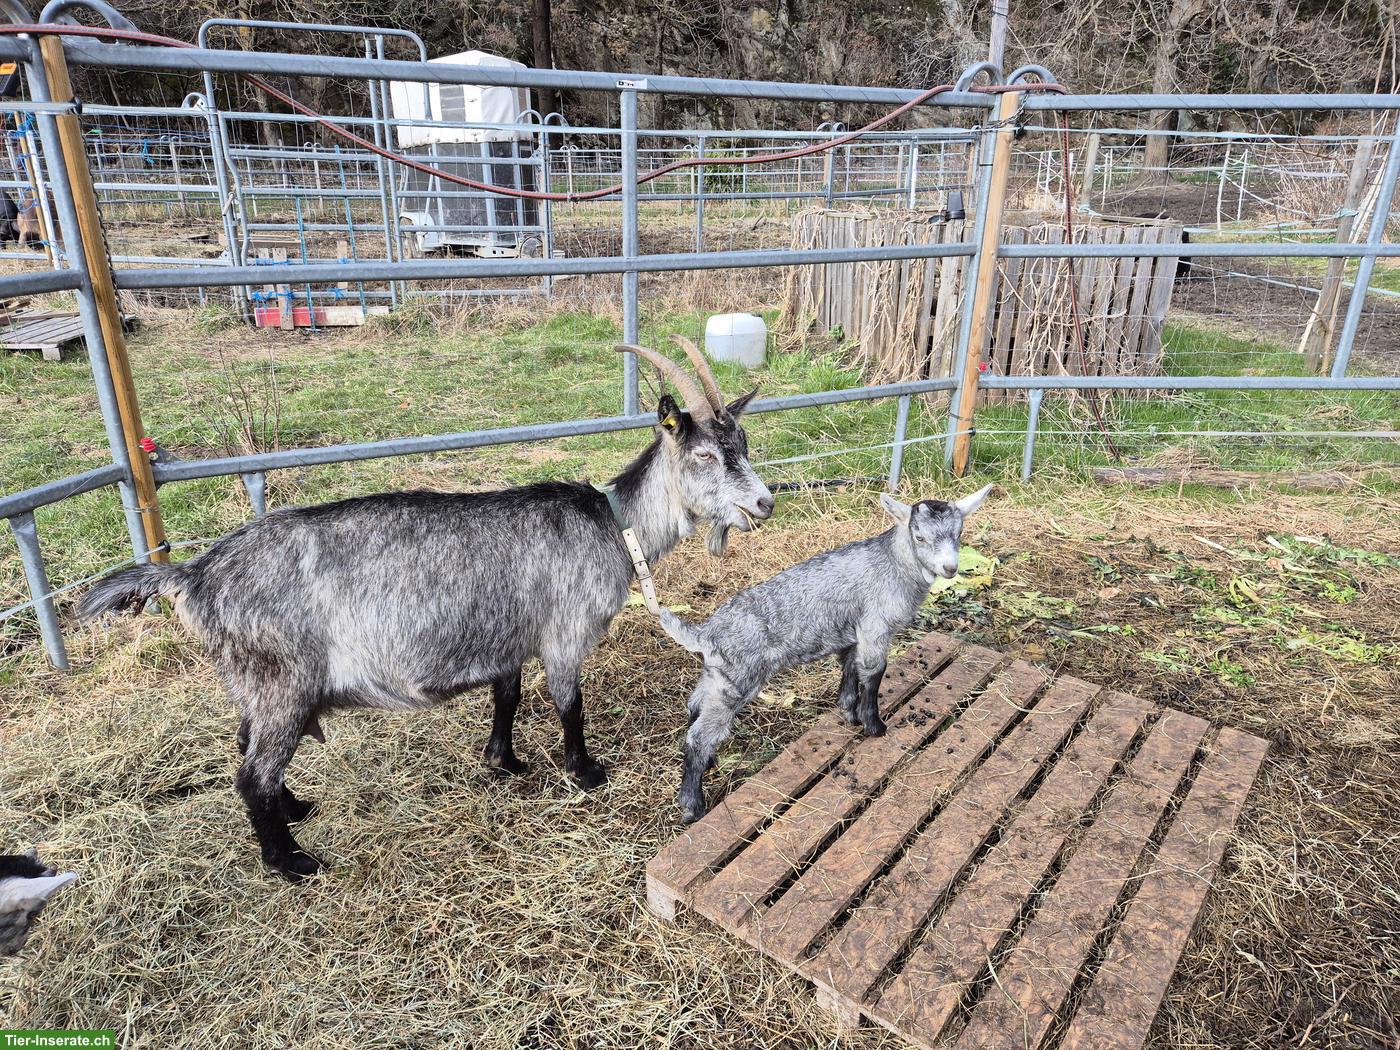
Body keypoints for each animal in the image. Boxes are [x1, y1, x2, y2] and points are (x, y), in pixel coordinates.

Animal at [79, 340, 774, 881]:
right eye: (705, 454)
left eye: (742, 442)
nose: (764, 503)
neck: (612, 525)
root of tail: (194, 575)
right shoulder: (564, 632)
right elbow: (568, 704)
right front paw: (584, 771)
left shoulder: (508, 636)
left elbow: (507, 694)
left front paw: (503, 760)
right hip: (283, 678)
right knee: (251, 774)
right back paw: (293, 861)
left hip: (252, 680)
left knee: (246, 748)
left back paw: (295, 809)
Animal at [660, 485, 992, 823]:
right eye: (920, 537)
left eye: (959, 532)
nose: (950, 568)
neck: (895, 564)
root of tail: (705, 633)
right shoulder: (875, 626)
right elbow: (874, 672)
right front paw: (874, 725)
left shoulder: (853, 630)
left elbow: (850, 665)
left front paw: (848, 710)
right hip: (738, 678)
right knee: (700, 735)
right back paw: (692, 805)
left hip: (717, 674)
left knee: (695, 705)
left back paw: (709, 764)